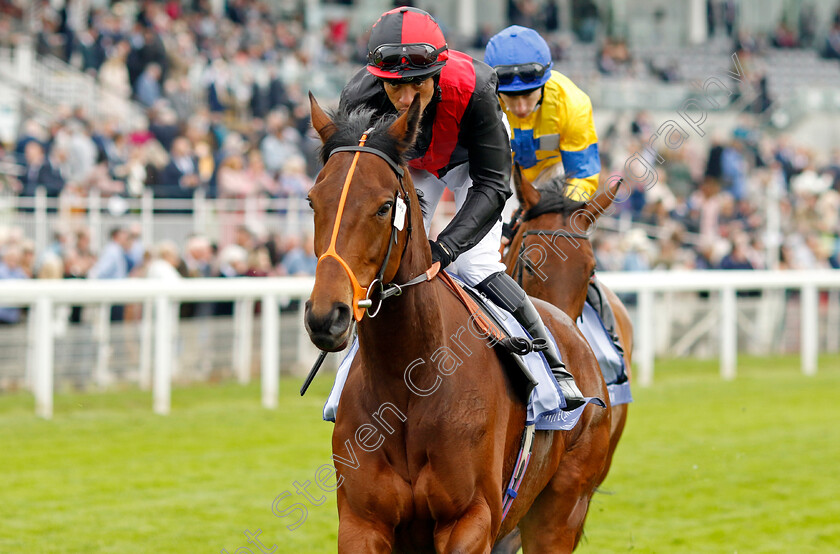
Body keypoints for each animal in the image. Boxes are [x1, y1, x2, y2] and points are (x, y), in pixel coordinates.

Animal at [302, 92, 612, 548]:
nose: (328, 315)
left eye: (384, 206)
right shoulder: (362, 522)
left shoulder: (471, 518)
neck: (409, 383)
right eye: (313, 200)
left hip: (561, 509)